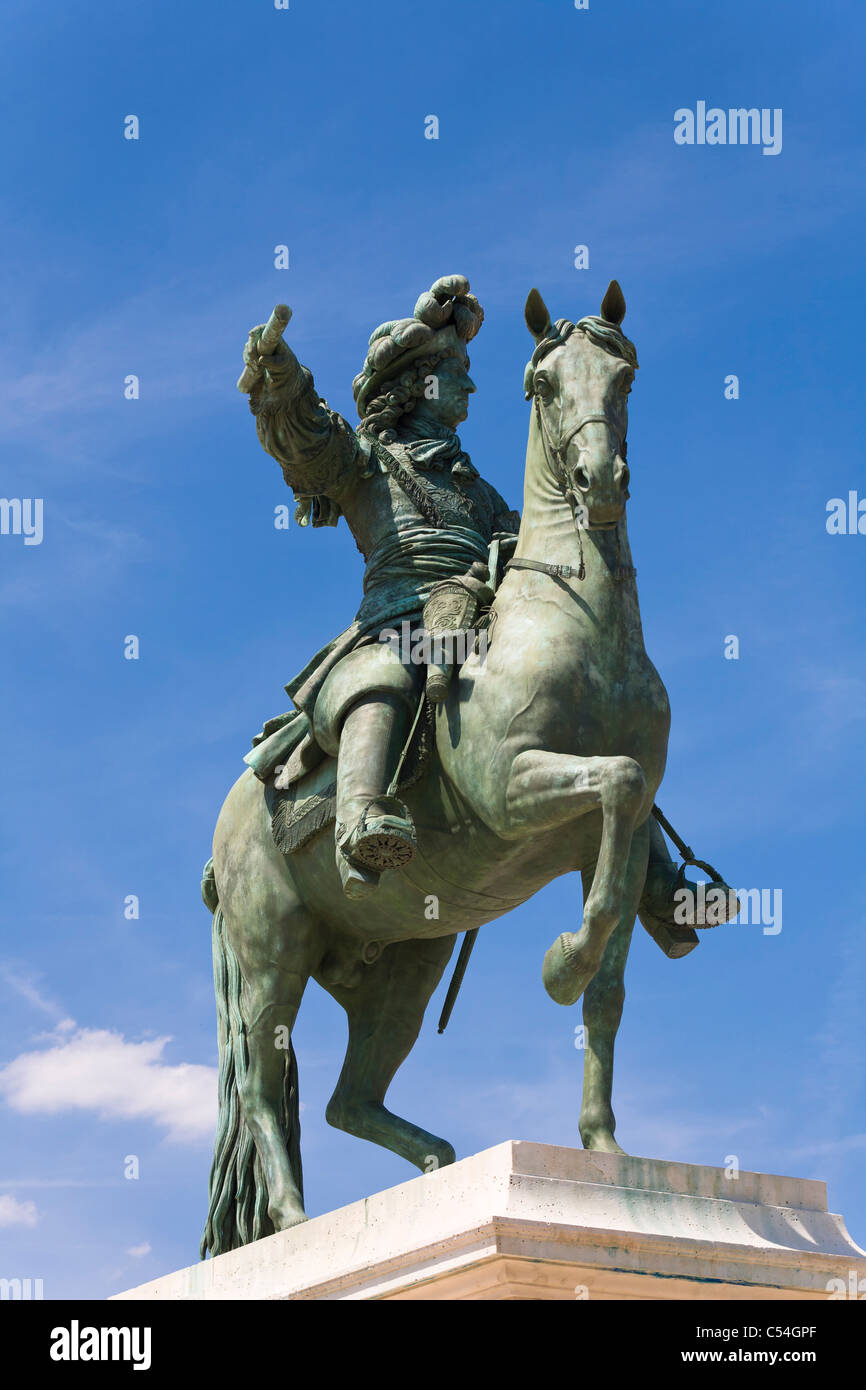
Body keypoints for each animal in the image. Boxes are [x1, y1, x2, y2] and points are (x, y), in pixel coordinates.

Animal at [198, 276, 683, 1256]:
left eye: (625, 373)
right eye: (543, 382)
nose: (600, 482)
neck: (577, 625)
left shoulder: (610, 842)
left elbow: (609, 979)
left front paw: (604, 1147)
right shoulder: (519, 792)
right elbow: (611, 783)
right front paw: (560, 963)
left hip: (404, 968)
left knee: (348, 1100)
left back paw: (439, 1164)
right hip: (271, 959)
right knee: (267, 1086)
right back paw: (295, 1224)